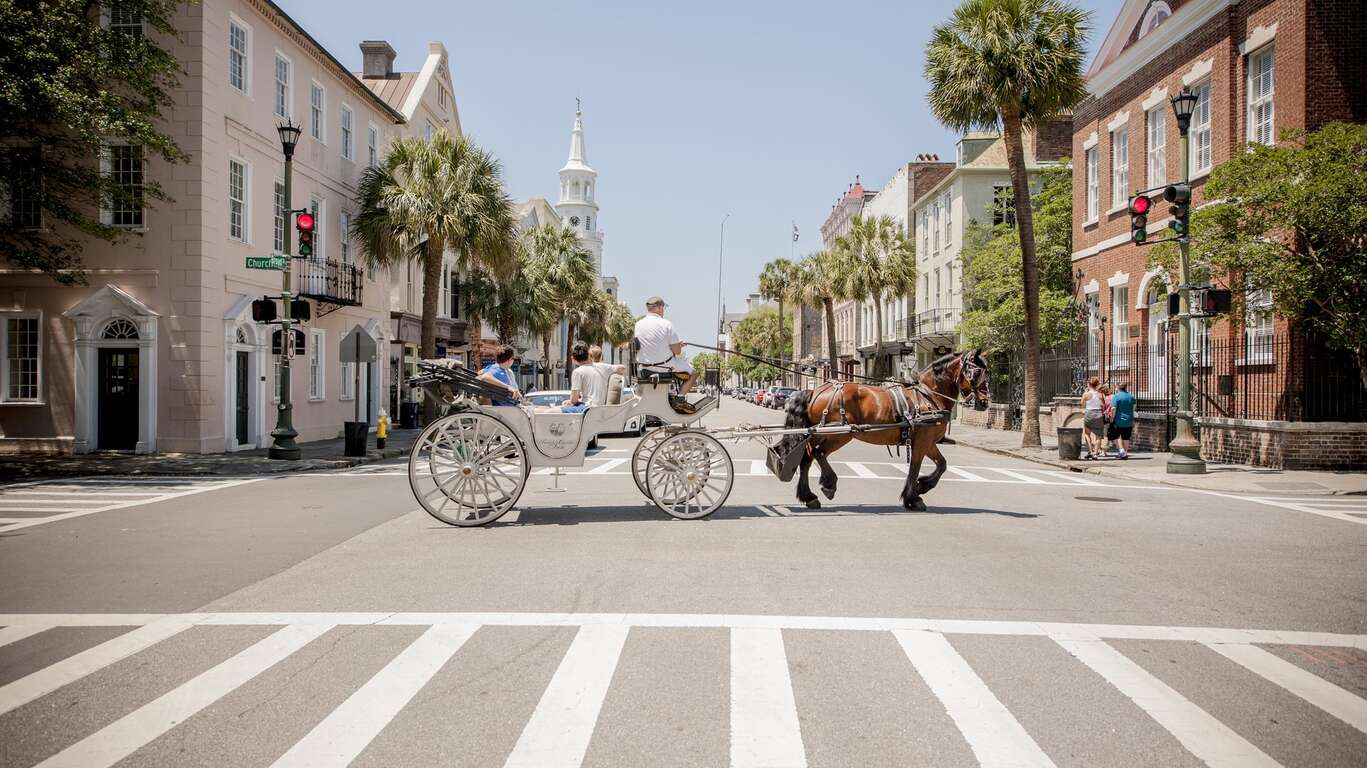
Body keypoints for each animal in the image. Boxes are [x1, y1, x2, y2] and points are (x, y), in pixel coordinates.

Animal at [776, 352, 989, 508]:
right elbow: (915, 467)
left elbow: (942, 464)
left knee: (807, 458)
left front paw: (922, 487)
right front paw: (913, 498)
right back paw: (829, 484)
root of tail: (815, 391)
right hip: (840, 434)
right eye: (977, 373)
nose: (985, 402)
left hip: (820, 434)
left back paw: (809, 497)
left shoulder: (928, 442)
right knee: (817, 454)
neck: (928, 396)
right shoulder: (922, 441)